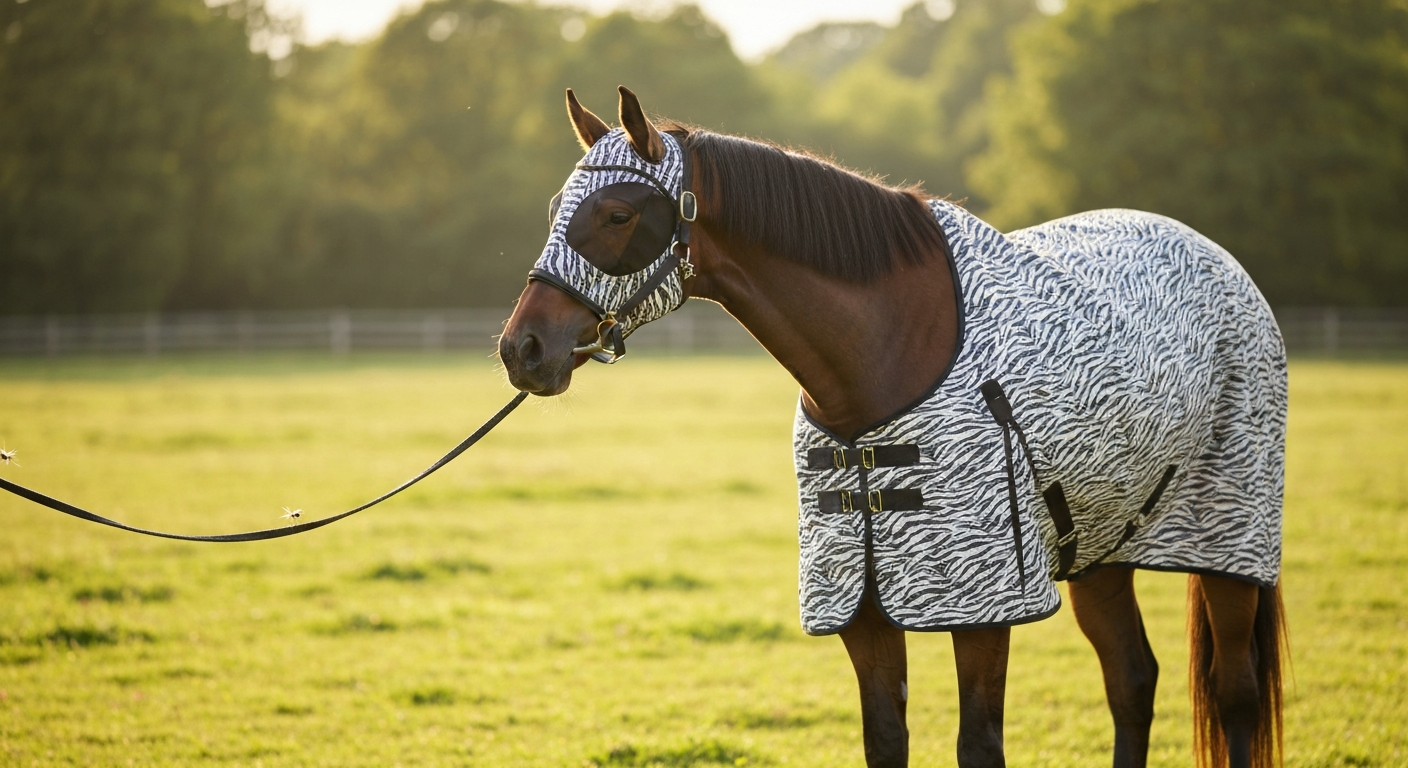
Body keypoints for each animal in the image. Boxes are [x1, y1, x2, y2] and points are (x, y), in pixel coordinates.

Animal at [499, 86, 1287, 768]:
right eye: (556, 208)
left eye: (619, 215)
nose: (522, 348)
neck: (886, 348)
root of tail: (1223, 264)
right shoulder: (864, 607)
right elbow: (885, 740)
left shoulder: (983, 603)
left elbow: (979, 745)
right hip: (1100, 547)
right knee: (1131, 679)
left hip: (1228, 544)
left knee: (1235, 693)